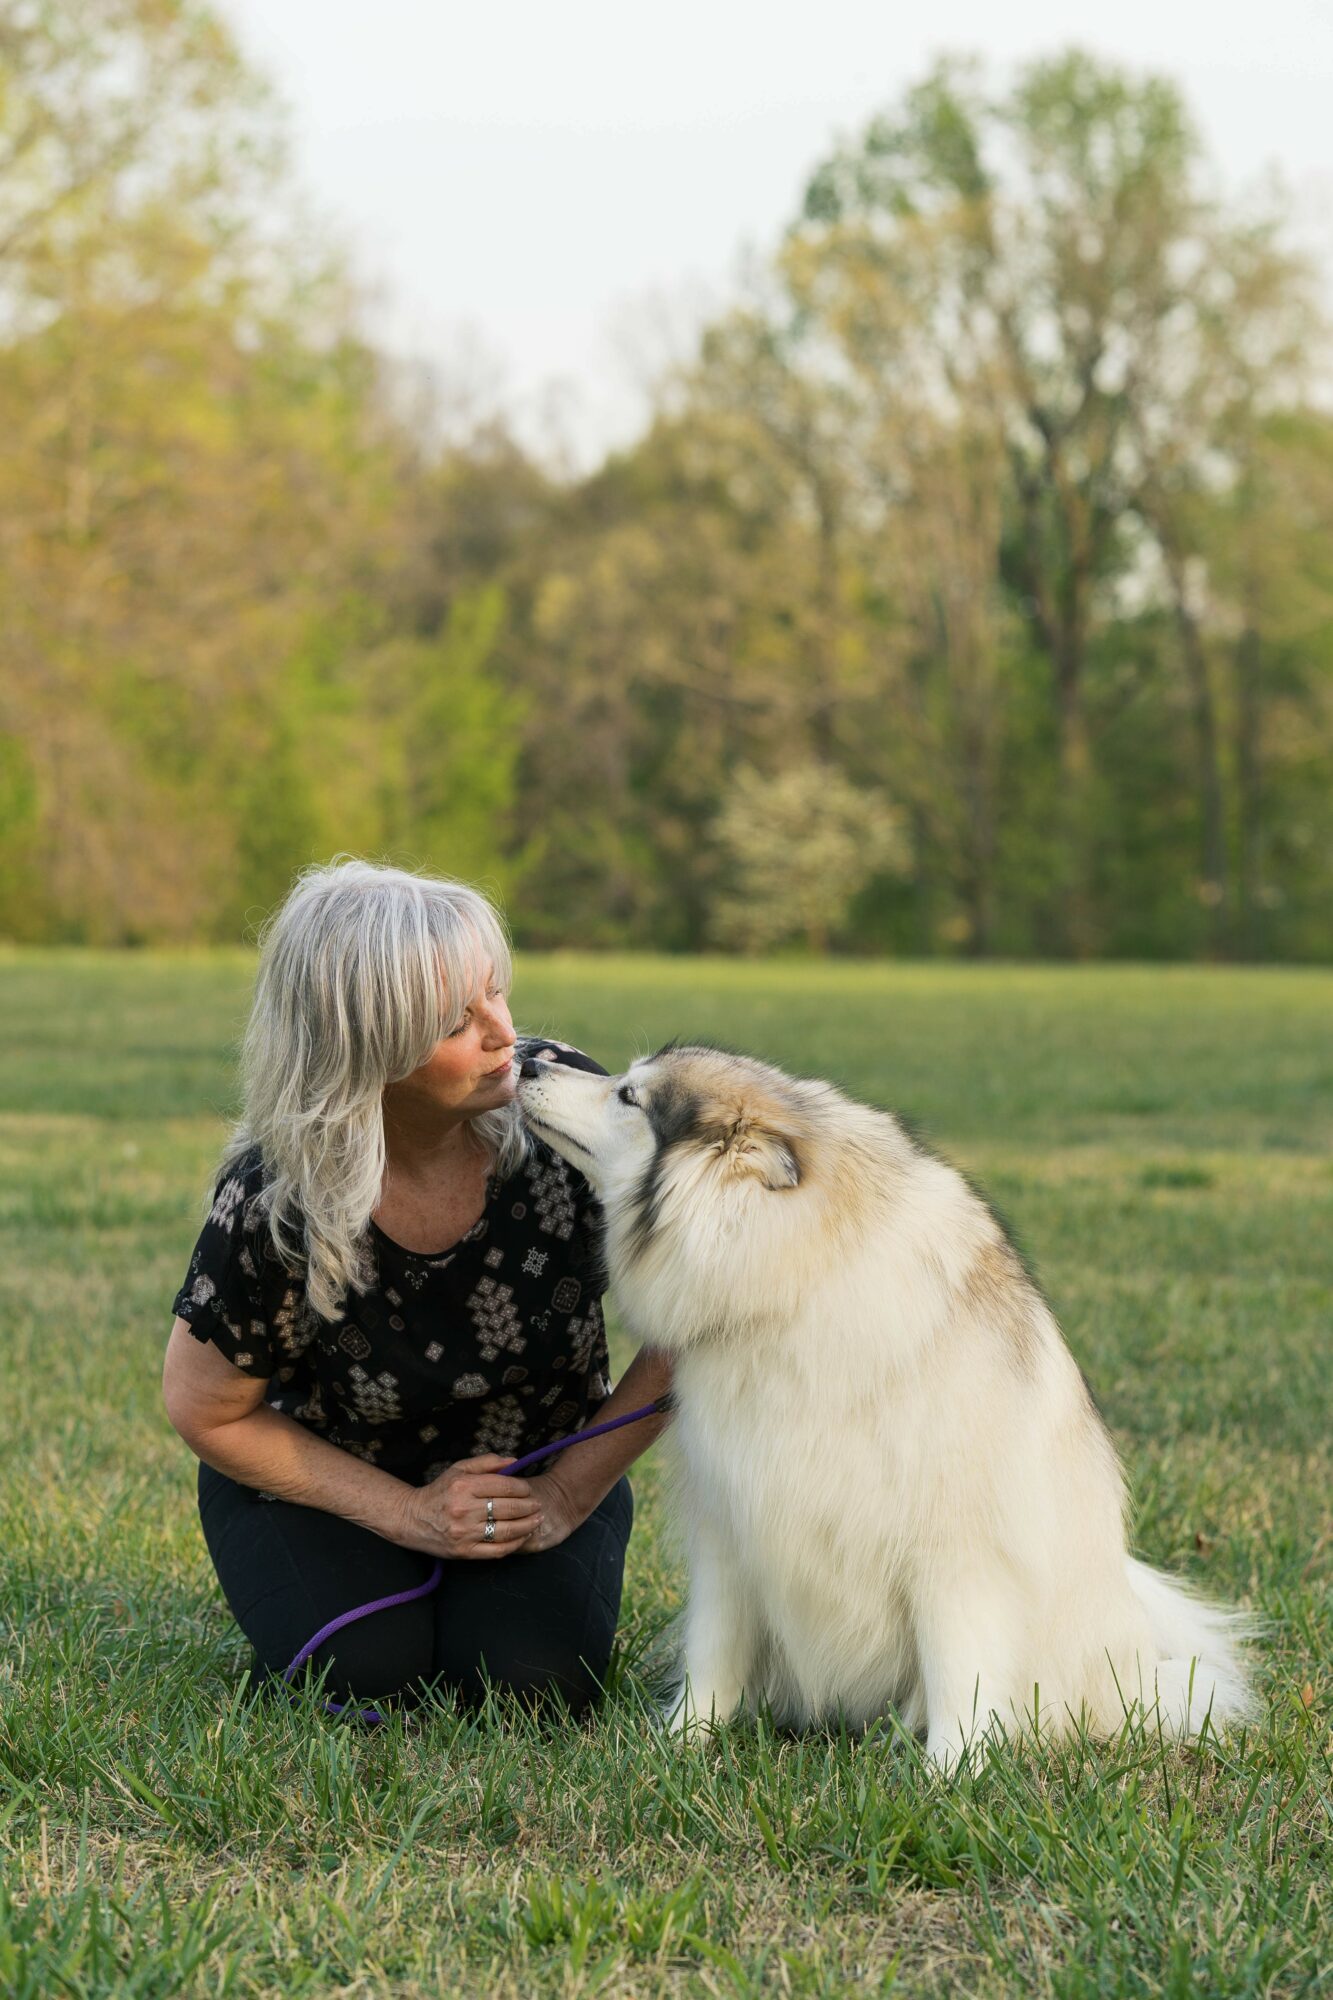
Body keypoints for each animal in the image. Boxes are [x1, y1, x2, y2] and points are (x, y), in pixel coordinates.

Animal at [517, 1044, 1255, 1766]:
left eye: (628, 1097)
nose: (528, 1058)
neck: (800, 1280)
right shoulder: (732, 1521)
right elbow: (712, 1651)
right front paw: (681, 1742)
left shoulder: (954, 1547)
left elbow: (959, 1668)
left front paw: (951, 1772)